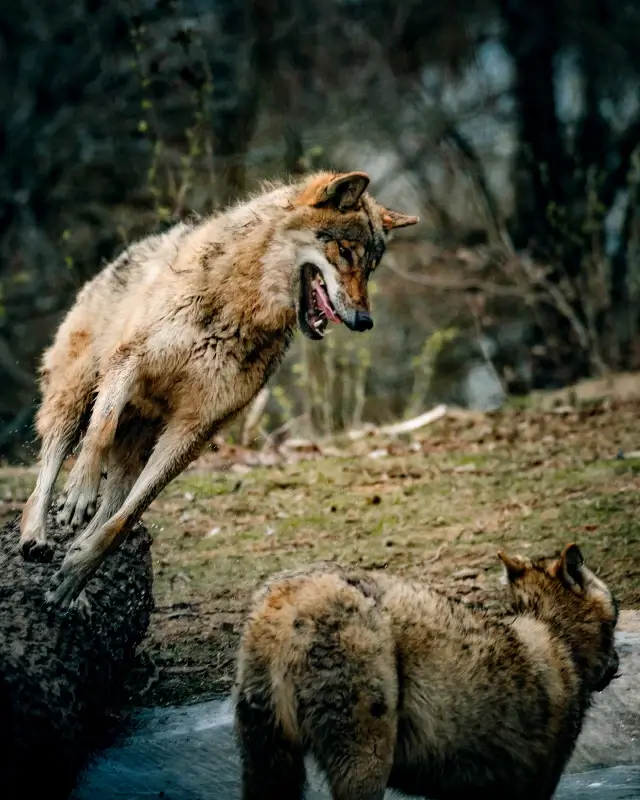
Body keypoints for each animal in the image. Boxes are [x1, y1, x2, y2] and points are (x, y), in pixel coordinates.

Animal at [20, 170, 418, 608]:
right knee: (48, 470)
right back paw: (35, 536)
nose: (364, 321)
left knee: (112, 506)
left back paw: (76, 572)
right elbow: (100, 431)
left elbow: (125, 520)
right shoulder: (128, 362)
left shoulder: (195, 430)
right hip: (73, 397)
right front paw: (78, 493)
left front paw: (76, 573)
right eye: (345, 252)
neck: (237, 307)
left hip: (137, 449)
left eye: (372, 267)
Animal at [235, 544, 620, 800]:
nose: (616, 664)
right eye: (616, 611)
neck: (555, 631)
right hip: (364, 756)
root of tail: (286, 597)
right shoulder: (537, 784)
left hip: (267, 759)